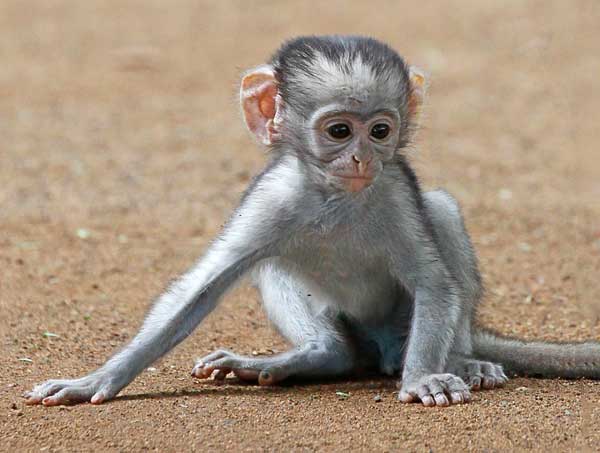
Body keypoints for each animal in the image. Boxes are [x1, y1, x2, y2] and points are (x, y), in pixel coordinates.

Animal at [25, 37, 600, 408]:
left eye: (381, 130)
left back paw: (459, 361)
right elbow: (200, 289)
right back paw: (314, 357)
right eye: (339, 131)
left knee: (440, 209)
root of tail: (382, 346)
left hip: (405, 324)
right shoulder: (270, 197)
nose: (361, 160)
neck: (336, 200)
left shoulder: (395, 193)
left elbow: (434, 281)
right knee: (278, 272)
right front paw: (93, 381)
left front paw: (422, 380)